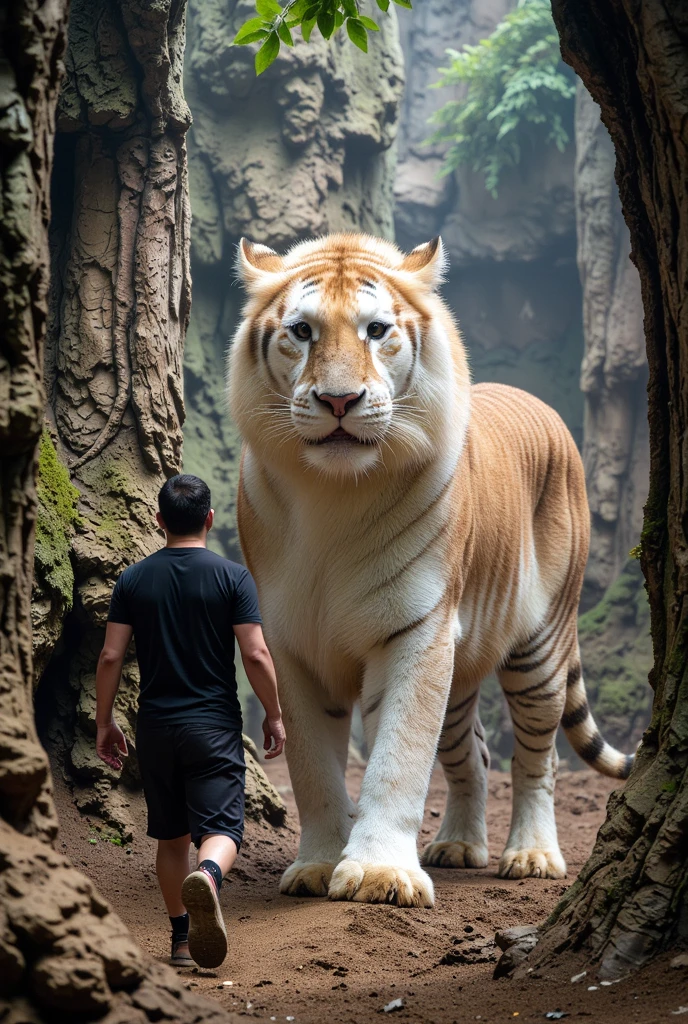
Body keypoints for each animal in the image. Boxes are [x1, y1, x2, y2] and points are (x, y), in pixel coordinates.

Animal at [227, 230, 634, 905]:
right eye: (303, 332)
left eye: (376, 330)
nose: (339, 399)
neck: (332, 495)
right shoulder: (292, 643)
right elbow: (313, 769)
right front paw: (318, 864)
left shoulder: (417, 631)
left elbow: (398, 760)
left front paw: (379, 874)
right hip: (463, 673)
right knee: (475, 757)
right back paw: (459, 846)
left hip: (540, 647)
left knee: (537, 757)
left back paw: (531, 855)